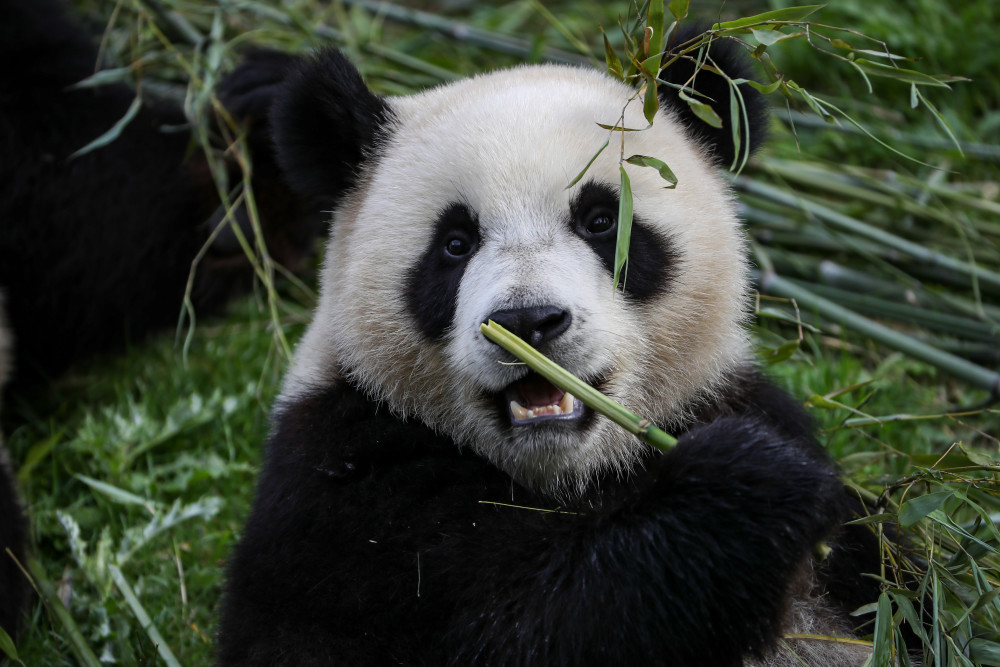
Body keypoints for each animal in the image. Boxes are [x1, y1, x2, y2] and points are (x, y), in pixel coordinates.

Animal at [221, 24, 884, 667]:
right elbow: (540, 623)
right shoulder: (343, 495)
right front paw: (744, 486)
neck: (568, 473)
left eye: (601, 221)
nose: (528, 322)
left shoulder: (726, 399)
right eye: (455, 243)